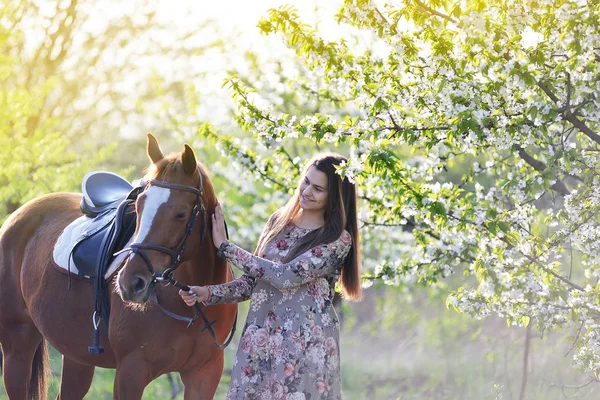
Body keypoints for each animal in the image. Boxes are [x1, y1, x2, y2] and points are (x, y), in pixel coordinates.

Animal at [0, 135, 237, 400]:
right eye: (139, 207)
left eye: (181, 213)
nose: (130, 283)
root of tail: (17, 216)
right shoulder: (131, 371)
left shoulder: (204, 374)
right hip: (17, 345)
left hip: (77, 354)